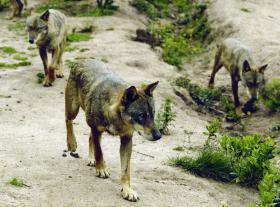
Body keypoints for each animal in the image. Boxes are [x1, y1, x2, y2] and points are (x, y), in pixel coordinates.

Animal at [65, 59, 161, 201]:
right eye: (141, 116)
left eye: (153, 114)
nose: (159, 136)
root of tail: (82, 60)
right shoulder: (96, 130)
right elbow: (100, 152)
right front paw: (101, 170)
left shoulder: (127, 139)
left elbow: (126, 171)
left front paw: (127, 190)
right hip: (73, 109)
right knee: (68, 121)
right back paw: (72, 144)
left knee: (89, 138)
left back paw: (91, 159)